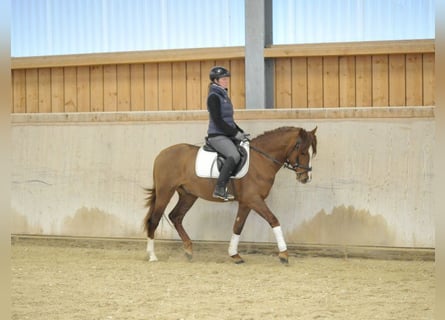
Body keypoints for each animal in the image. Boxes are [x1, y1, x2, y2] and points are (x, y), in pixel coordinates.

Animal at [142, 126, 316, 264]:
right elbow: (273, 220)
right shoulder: (254, 200)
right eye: (302, 152)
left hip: (188, 195)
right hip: (165, 192)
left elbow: (238, 226)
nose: (306, 178)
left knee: (176, 216)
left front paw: (234, 255)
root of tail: (161, 154)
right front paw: (284, 255)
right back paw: (152, 256)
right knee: (154, 219)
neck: (261, 160)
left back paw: (189, 251)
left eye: (312, 153)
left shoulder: (246, 202)